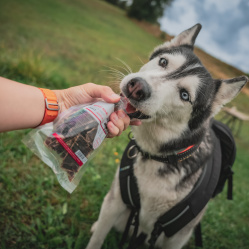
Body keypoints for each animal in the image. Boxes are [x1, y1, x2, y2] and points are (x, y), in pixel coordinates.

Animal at [86, 23, 248, 249]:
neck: (157, 157)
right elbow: (97, 239)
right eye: (163, 62)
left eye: (185, 95)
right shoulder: (115, 202)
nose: (137, 87)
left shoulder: (176, 237)